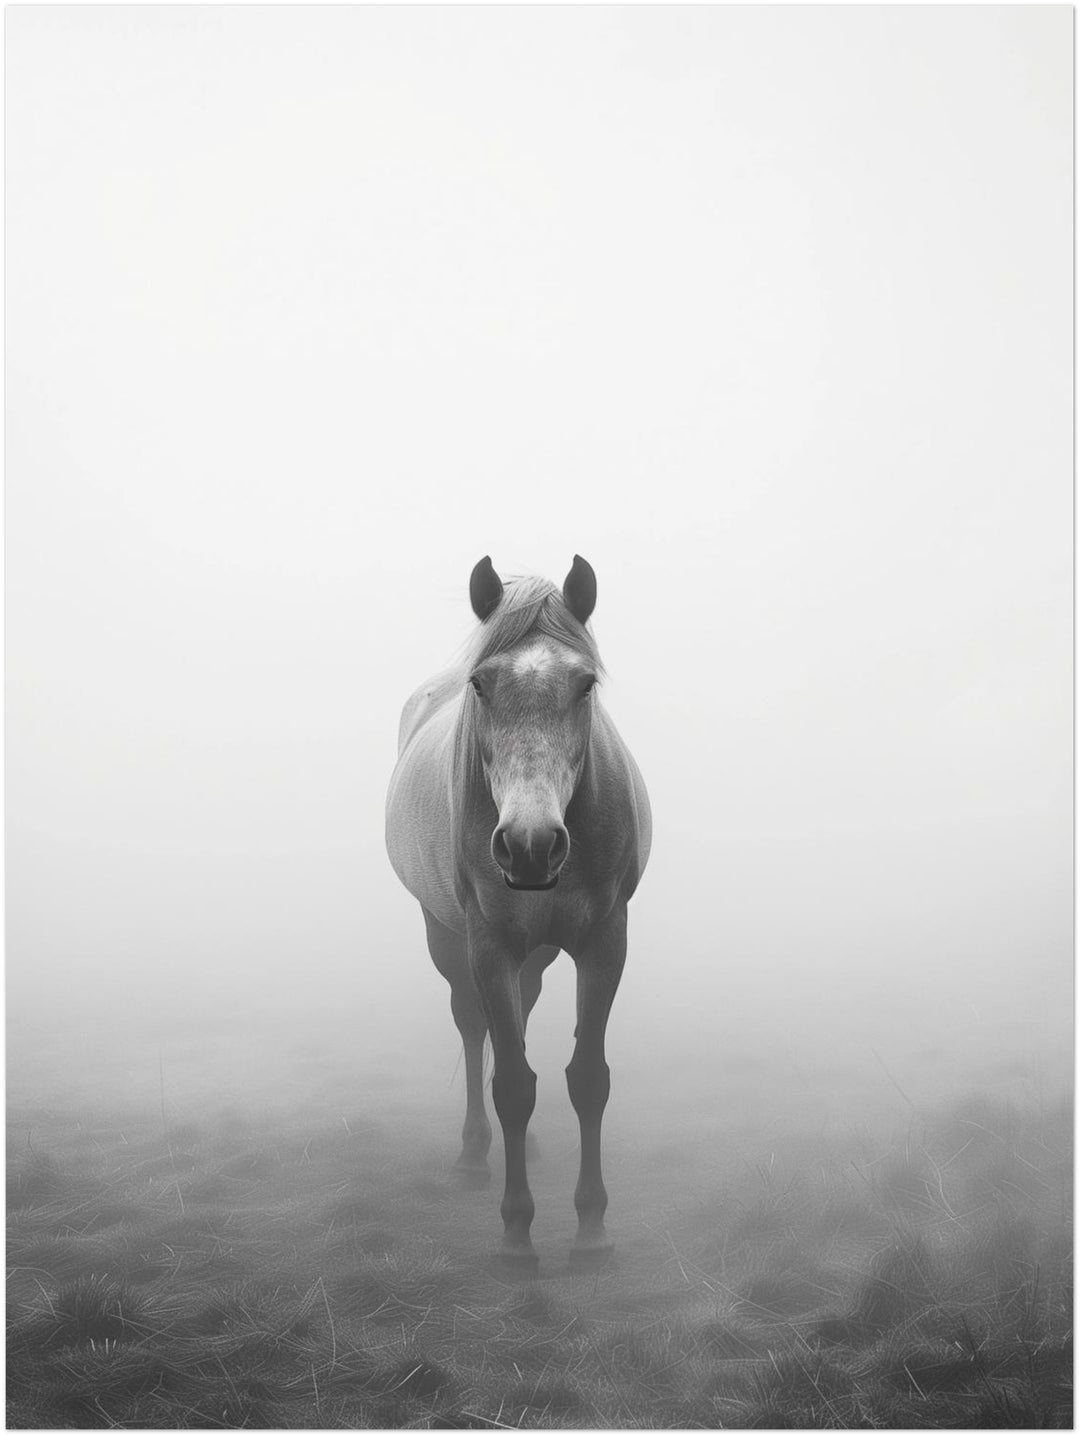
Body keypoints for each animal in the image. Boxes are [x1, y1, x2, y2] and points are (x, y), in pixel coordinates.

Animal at [385, 555, 651, 1269]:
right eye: (480, 684)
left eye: (586, 684)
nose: (530, 846)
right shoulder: (490, 945)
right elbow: (509, 1084)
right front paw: (515, 1234)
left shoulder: (605, 940)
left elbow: (587, 1079)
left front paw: (591, 1229)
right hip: (446, 937)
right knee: (474, 1029)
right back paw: (475, 1155)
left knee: (522, 1017)